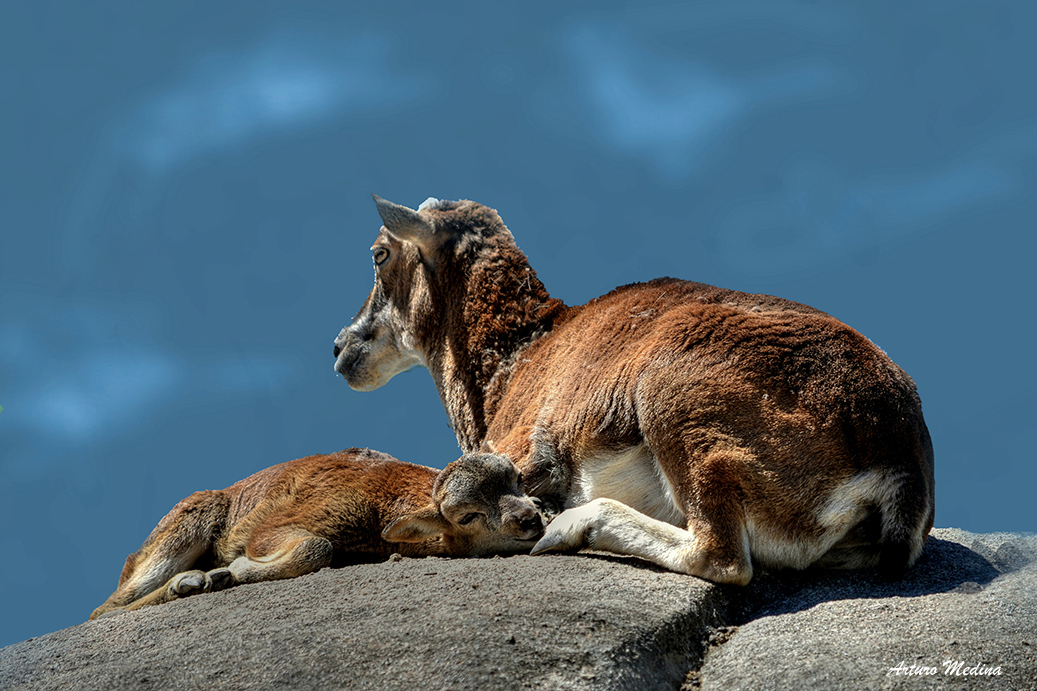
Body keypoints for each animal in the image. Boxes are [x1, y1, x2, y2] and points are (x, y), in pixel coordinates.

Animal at [90, 446, 543, 618]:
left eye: (519, 480)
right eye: (466, 516)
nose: (530, 520)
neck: (379, 499)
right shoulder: (275, 529)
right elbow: (316, 548)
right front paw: (234, 569)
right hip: (186, 527)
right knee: (105, 610)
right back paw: (194, 581)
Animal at [333, 195, 941, 585]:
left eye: (379, 253)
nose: (341, 348)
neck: (520, 356)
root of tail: (896, 454)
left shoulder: (521, 454)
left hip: (677, 410)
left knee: (722, 557)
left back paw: (570, 527)